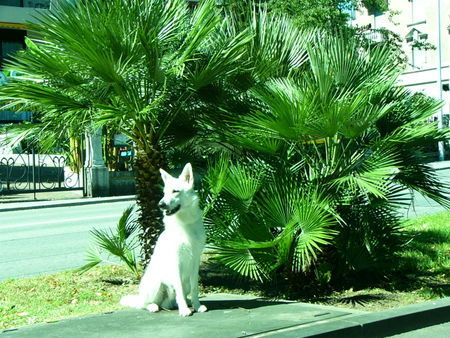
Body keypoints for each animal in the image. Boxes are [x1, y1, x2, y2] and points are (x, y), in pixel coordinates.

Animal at [119, 164, 207, 316]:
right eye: (164, 193)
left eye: (175, 191)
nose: (160, 204)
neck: (185, 224)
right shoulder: (176, 261)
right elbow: (179, 289)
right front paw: (184, 309)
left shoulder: (196, 261)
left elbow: (195, 288)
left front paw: (196, 305)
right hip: (155, 284)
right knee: (145, 304)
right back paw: (153, 306)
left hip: (184, 283)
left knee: (174, 299)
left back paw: (185, 302)